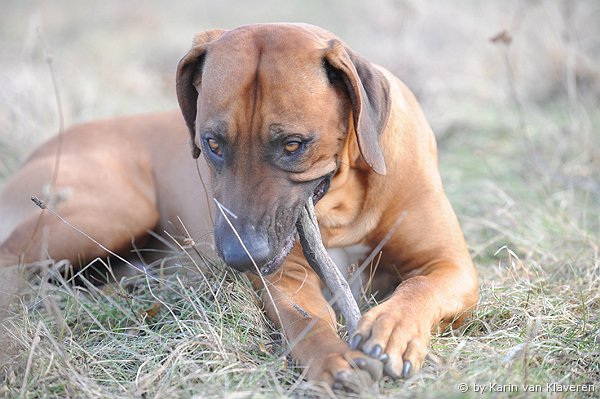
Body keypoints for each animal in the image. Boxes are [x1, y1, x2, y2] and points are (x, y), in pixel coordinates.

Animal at [0, 24, 478, 394]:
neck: (345, 204)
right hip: (112, 210)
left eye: (293, 145)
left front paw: (392, 328)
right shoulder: (287, 278)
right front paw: (332, 359)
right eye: (212, 143)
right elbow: (305, 321)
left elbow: (420, 286)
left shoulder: (452, 265)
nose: (238, 256)